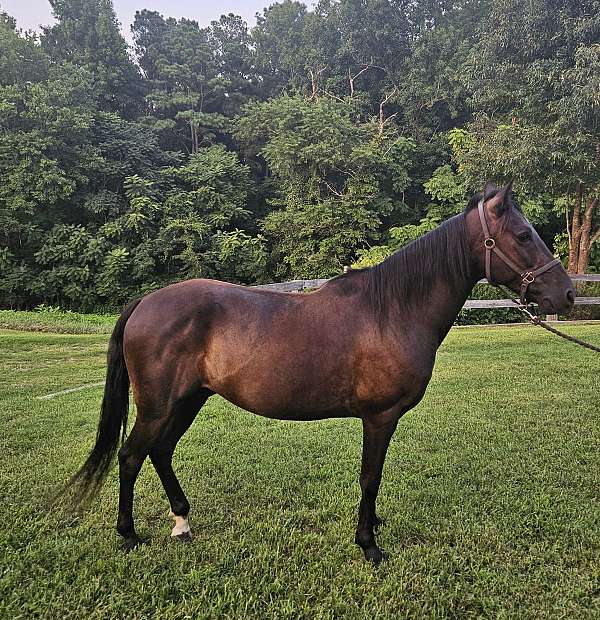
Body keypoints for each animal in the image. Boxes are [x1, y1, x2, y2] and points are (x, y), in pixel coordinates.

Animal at [71, 182, 576, 564]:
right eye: (523, 235)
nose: (567, 294)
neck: (393, 309)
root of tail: (145, 302)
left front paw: (373, 526)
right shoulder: (380, 416)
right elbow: (370, 476)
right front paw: (369, 545)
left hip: (188, 399)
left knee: (160, 452)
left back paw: (181, 520)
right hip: (159, 405)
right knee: (131, 456)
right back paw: (129, 534)